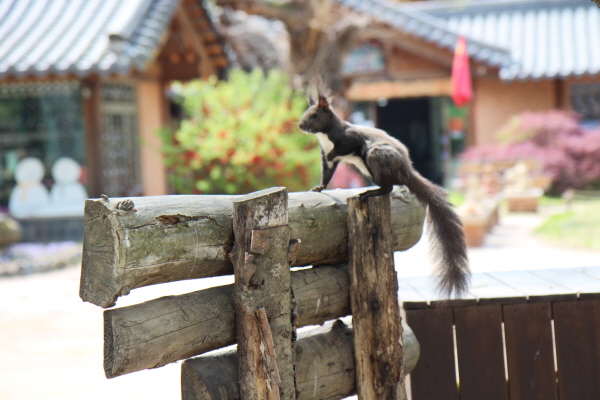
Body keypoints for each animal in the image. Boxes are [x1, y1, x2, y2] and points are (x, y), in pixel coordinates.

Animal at [298, 89, 472, 298]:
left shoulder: (349, 138)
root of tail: (407, 171)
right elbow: (327, 174)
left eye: (315, 115)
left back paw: (371, 193)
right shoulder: (325, 157)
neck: (325, 134)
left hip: (375, 155)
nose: (301, 125)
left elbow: (345, 147)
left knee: (388, 187)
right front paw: (319, 188)